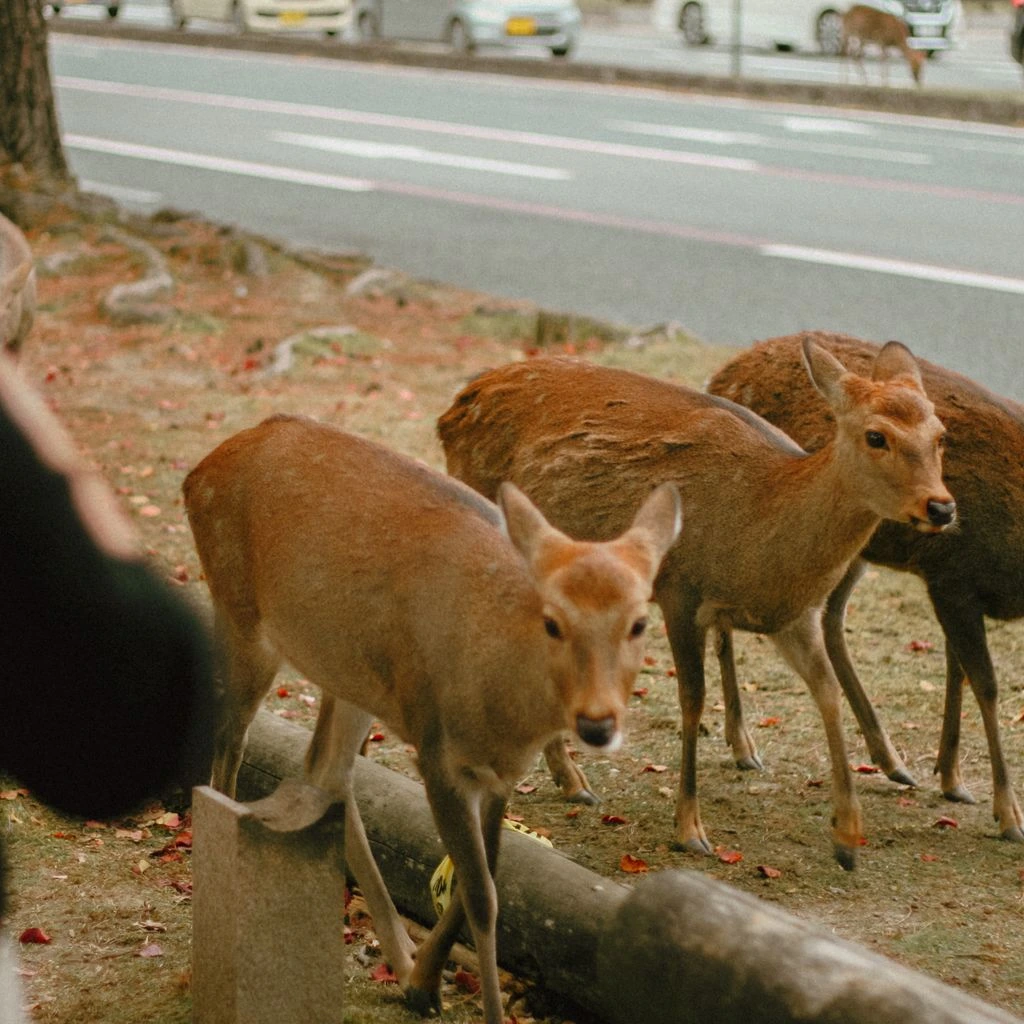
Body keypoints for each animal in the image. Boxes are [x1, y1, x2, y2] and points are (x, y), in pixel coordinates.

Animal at [182, 414, 681, 1024]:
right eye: (553, 622)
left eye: (639, 622)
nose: (597, 722)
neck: (506, 718)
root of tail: (200, 470)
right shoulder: (436, 748)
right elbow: (482, 895)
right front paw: (482, 1008)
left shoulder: (498, 775)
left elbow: (483, 877)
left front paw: (425, 981)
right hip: (242, 614)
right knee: (230, 747)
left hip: (352, 675)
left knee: (326, 769)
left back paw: (400, 960)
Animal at [438, 339, 955, 870]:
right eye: (876, 436)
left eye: (941, 435)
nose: (940, 507)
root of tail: (454, 408)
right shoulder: (679, 590)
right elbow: (692, 699)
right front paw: (690, 828)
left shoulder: (794, 617)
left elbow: (827, 692)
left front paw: (848, 838)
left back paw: (570, 780)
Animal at [707, 331, 1024, 844]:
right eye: (877, 437)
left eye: (942, 438)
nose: (944, 510)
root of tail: (722, 371)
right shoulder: (953, 575)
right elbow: (986, 683)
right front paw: (1009, 815)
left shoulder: (954, 586)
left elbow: (956, 669)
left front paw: (951, 776)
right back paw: (743, 745)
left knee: (829, 617)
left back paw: (890, 760)